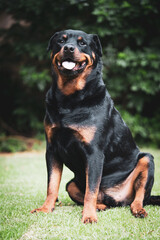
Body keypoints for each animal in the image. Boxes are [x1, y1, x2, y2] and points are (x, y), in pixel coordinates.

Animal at [31, 29, 159, 223]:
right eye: (61, 41)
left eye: (83, 43)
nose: (69, 48)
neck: (70, 99)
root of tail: (115, 198)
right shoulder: (52, 150)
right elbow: (52, 185)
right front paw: (46, 209)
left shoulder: (94, 152)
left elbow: (91, 189)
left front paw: (89, 217)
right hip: (72, 183)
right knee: (93, 196)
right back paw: (101, 206)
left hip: (147, 160)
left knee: (138, 195)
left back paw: (137, 209)